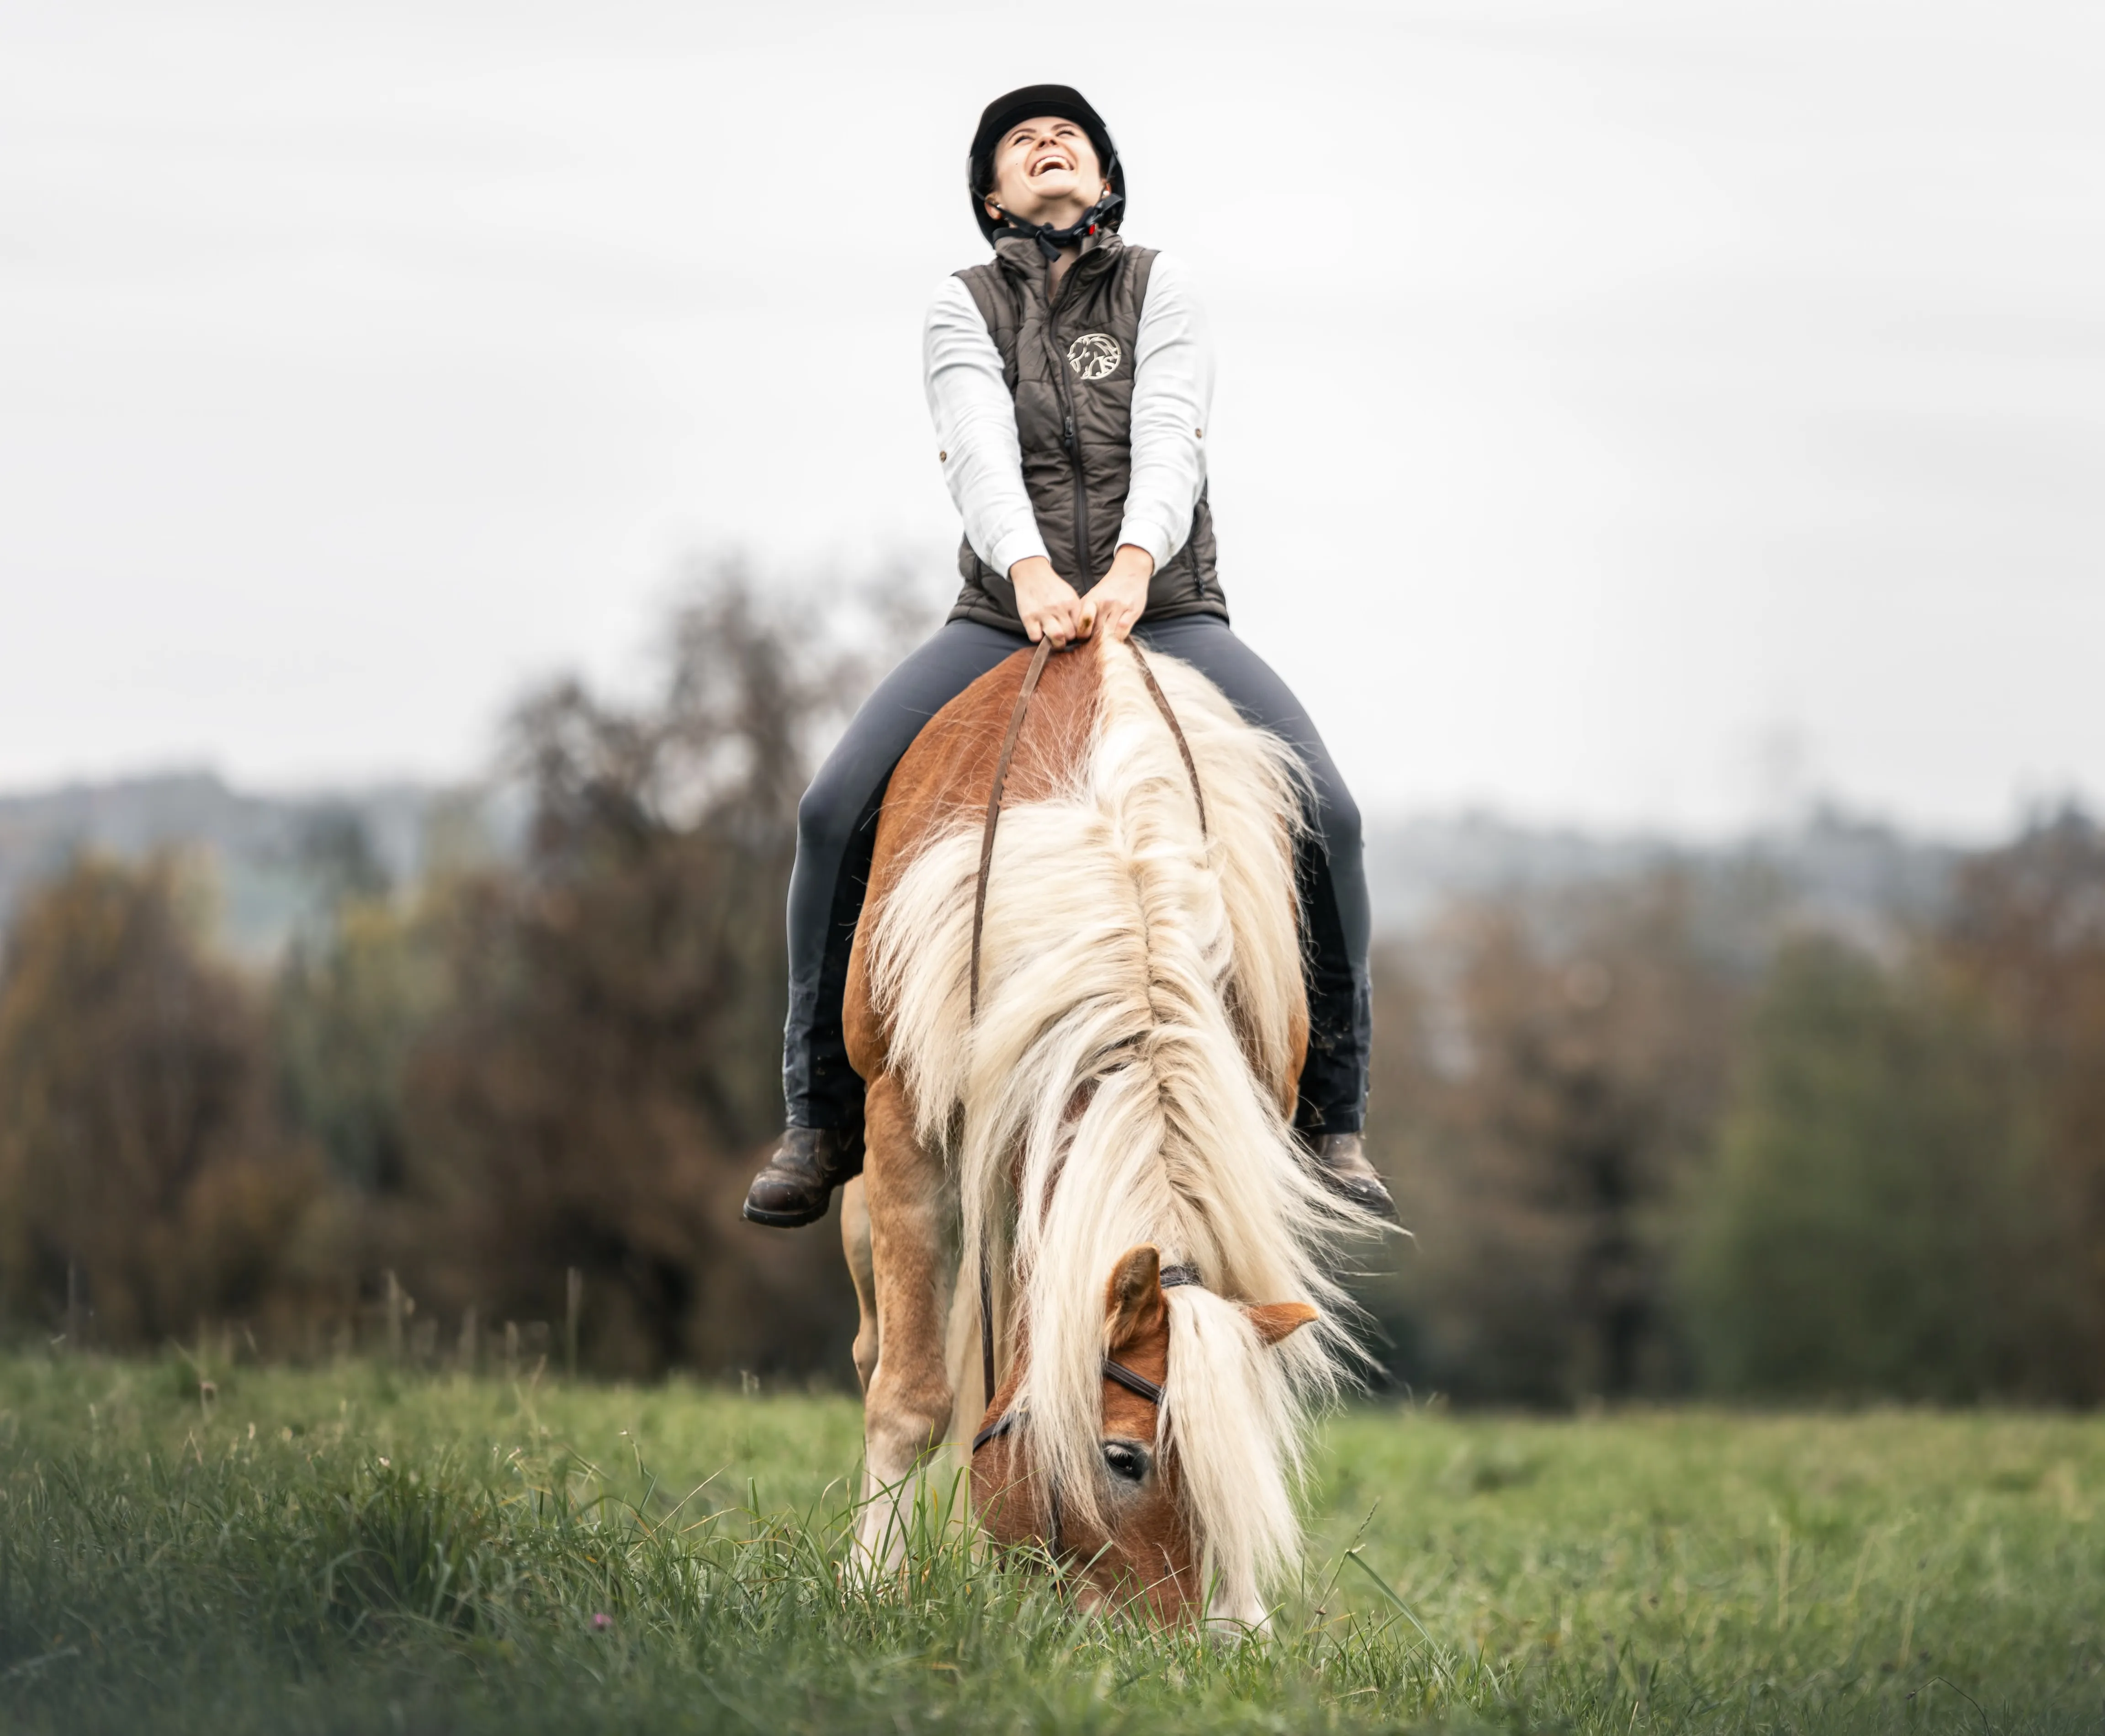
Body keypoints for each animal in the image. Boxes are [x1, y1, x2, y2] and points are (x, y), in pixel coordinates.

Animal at [835, 630, 1379, 1626]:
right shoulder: (904, 1125)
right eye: (1123, 1458)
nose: (1172, 1645)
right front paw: (871, 1587)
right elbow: (911, 1395)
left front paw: (1242, 1612)